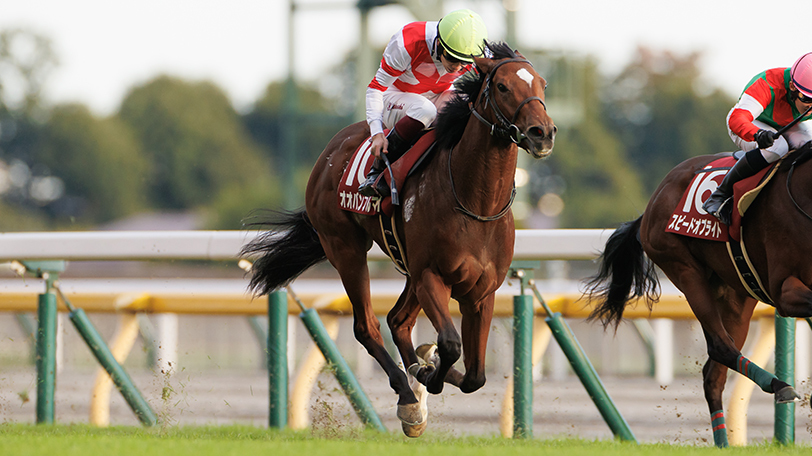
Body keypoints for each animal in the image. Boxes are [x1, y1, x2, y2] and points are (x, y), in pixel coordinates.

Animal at [241, 41, 556, 436]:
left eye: (542, 83)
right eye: (502, 86)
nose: (542, 132)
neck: (475, 202)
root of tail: (331, 150)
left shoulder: (481, 291)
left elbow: (475, 376)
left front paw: (427, 366)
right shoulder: (432, 276)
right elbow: (450, 345)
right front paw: (426, 377)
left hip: (406, 266)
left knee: (397, 320)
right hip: (346, 248)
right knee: (368, 326)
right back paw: (408, 396)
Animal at [584, 142, 812, 446]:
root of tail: (653, 201)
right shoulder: (784, 289)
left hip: (737, 293)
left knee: (713, 374)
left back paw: (724, 444)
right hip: (685, 270)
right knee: (720, 347)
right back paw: (778, 386)